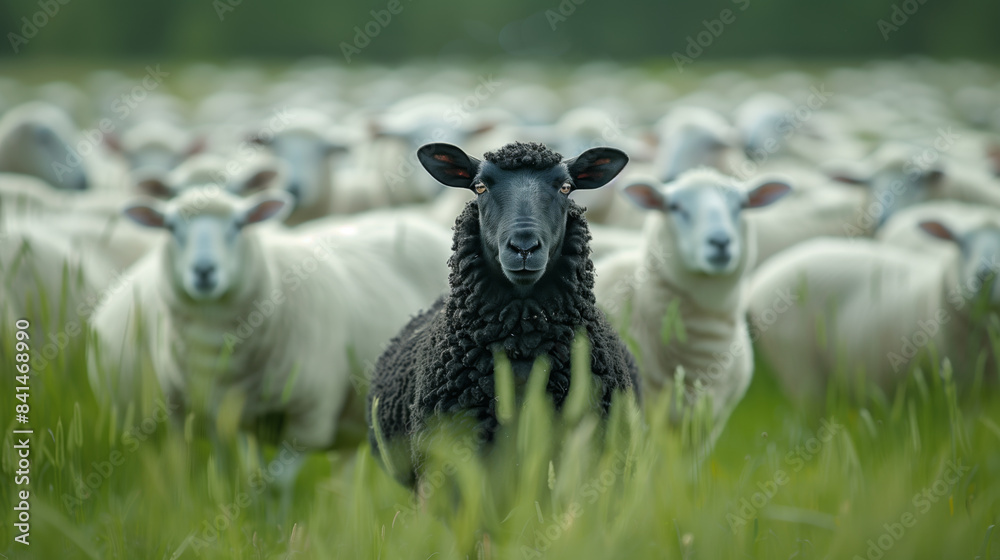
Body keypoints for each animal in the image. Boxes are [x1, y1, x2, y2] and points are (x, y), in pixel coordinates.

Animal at [88, 186, 453, 490]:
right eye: (171, 227)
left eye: (238, 225)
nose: (204, 271)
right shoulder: (230, 418)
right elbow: (251, 478)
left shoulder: (309, 418)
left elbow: (276, 485)